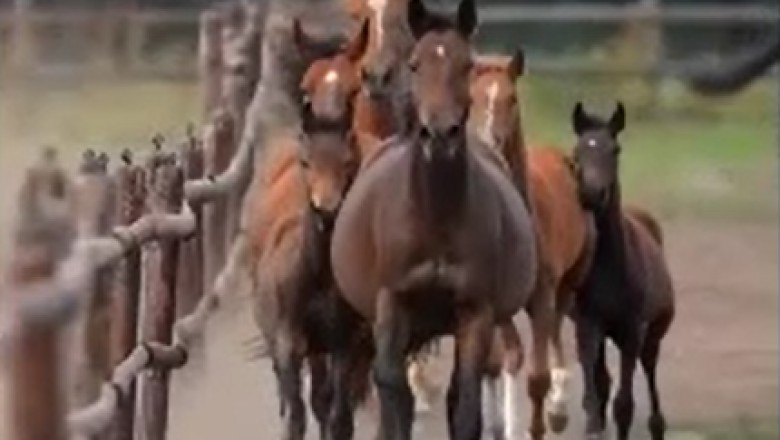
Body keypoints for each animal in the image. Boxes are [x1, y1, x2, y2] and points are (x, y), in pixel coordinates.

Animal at [329, 1, 539, 438]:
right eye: (415, 64)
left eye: (467, 64)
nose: (439, 133)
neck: (435, 216)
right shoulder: (392, 304)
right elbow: (392, 390)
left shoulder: (475, 313)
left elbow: (465, 401)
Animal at [465, 52, 596, 439]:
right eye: (473, 98)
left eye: (511, 99)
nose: (489, 144)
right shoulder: (497, 302)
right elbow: (512, 358)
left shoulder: (541, 294)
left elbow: (537, 376)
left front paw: (542, 421)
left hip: (567, 284)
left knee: (555, 333)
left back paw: (558, 409)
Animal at [570, 102, 675, 440]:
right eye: (578, 150)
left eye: (615, 149)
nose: (592, 193)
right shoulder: (588, 326)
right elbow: (593, 398)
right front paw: (594, 428)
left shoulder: (631, 332)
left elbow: (624, 406)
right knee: (603, 382)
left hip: (652, 333)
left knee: (650, 371)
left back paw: (657, 425)